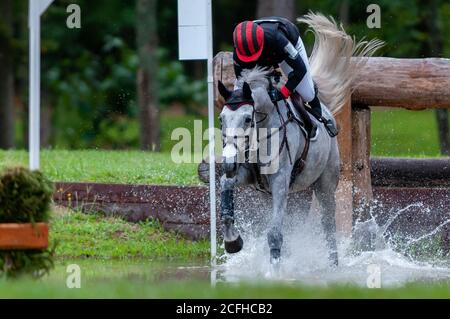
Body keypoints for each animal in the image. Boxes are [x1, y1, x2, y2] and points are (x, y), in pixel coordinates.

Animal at [216, 12, 382, 268]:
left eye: (247, 119)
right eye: (221, 119)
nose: (228, 163)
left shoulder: (280, 181)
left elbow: (275, 233)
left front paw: (275, 270)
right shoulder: (248, 176)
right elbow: (226, 187)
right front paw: (233, 241)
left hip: (325, 183)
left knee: (328, 224)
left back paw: (333, 264)